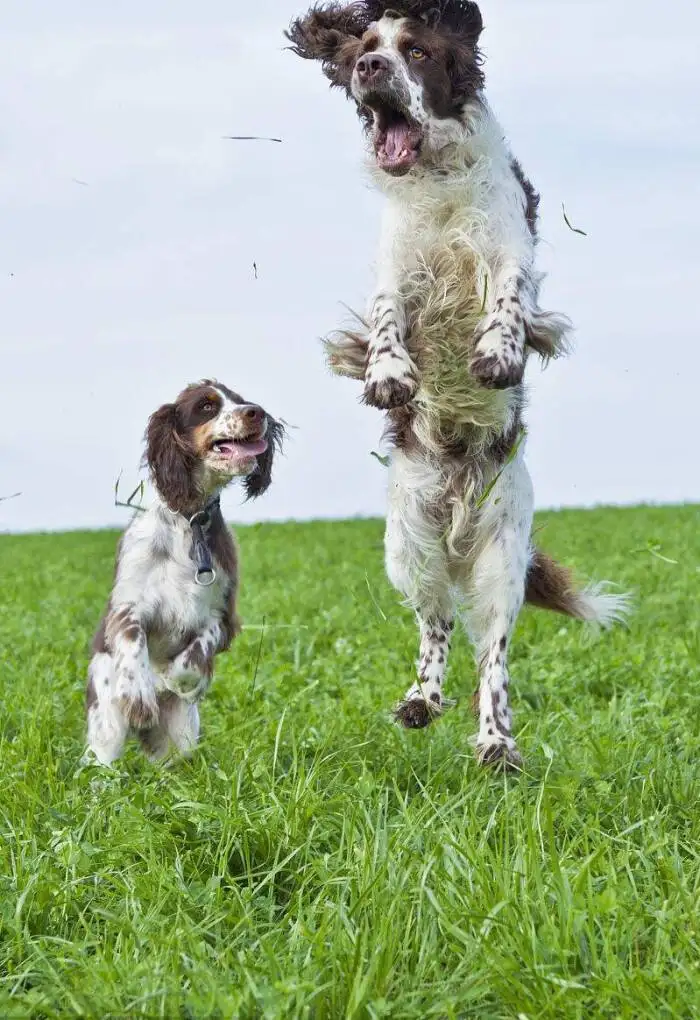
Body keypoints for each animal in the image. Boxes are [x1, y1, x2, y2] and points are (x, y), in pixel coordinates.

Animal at [86, 383, 283, 767]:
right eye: (206, 406)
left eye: (240, 400)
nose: (257, 412)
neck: (188, 521)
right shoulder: (129, 604)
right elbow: (133, 642)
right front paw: (141, 695)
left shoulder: (221, 616)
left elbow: (194, 657)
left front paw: (171, 680)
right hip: (105, 725)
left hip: (183, 735)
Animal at [289, 0, 632, 767]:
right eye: (365, 45)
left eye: (415, 51)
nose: (369, 68)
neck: (436, 179)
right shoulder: (396, 271)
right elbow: (386, 317)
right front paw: (389, 376)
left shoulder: (508, 251)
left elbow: (507, 300)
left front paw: (497, 358)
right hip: (407, 548)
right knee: (436, 625)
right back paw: (421, 701)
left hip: (502, 556)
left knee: (492, 653)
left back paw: (496, 742)